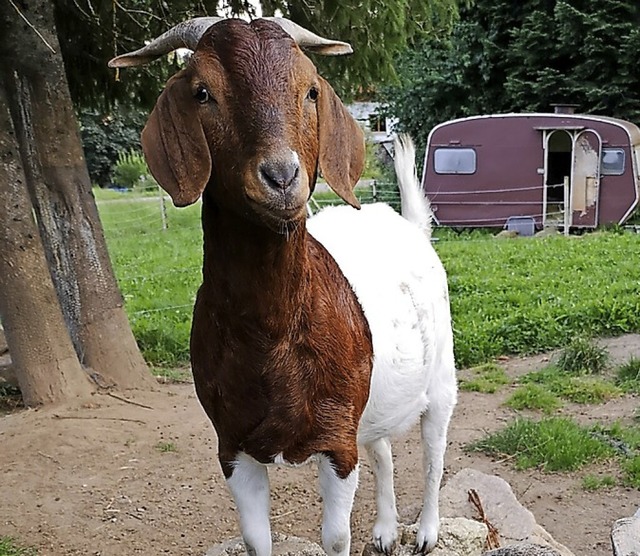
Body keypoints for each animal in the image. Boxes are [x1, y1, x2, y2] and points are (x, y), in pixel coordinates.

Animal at [111, 17, 456, 556]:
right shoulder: (232, 446)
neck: (273, 336)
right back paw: (384, 529)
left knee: (433, 451)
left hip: (441, 375)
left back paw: (425, 532)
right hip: (374, 399)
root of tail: (411, 227)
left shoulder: (336, 443)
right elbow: (256, 539)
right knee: (381, 447)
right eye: (202, 92)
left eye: (311, 89)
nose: (281, 176)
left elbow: (335, 538)